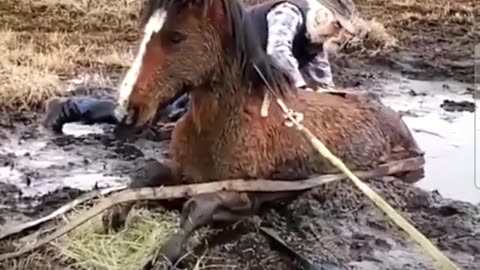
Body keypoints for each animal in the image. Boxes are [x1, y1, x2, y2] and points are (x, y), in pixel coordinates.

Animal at [106, 0, 424, 266]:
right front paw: (114, 218)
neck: (222, 126)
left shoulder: (247, 199)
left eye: (176, 37)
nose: (127, 111)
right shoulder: (184, 176)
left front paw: (166, 253)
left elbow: (197, 207)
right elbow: (145, 175)